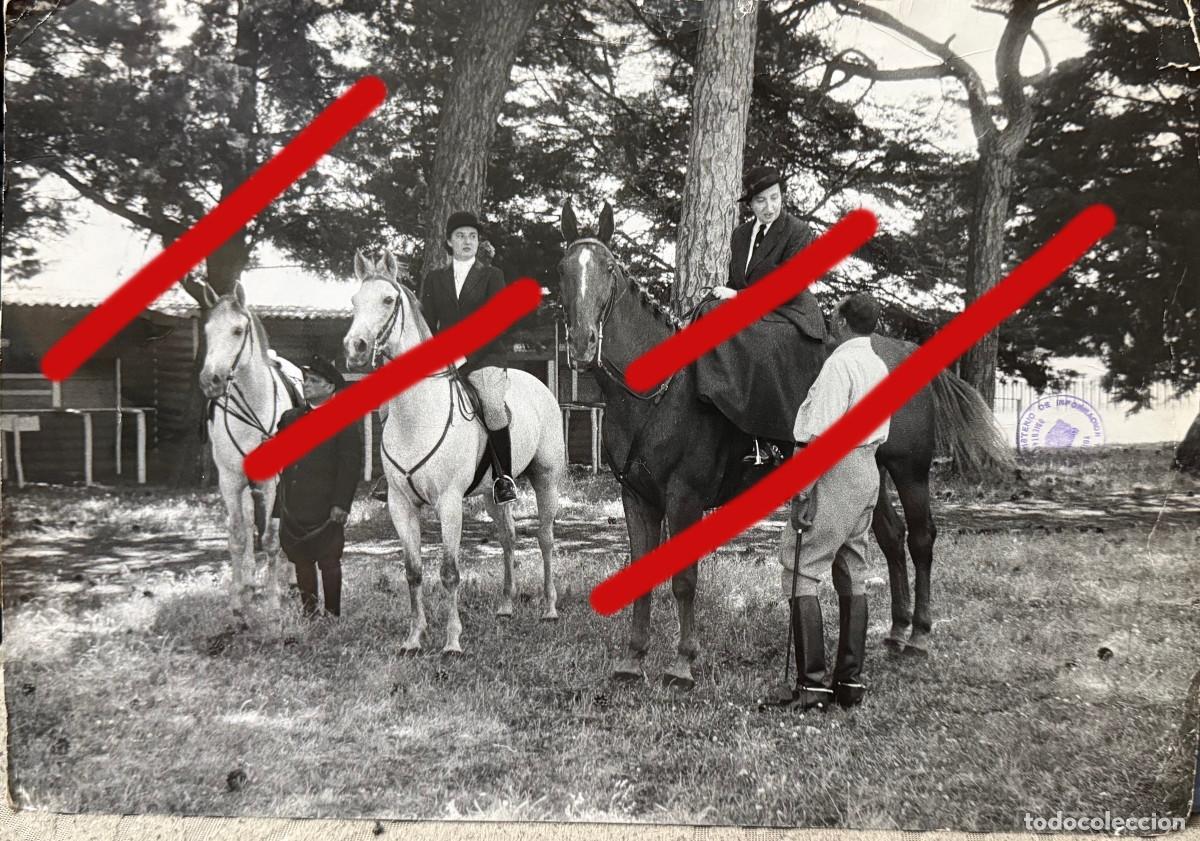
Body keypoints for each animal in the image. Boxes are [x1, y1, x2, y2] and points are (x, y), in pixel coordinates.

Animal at [197, 280, 299, 613]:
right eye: (207, 330)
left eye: (238, 330)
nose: (210, 380)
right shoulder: (230, 482)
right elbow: (239, 537)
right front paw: (238, 597)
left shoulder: (270, 482)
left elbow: (270, 538)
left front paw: (273, 599)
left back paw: (288, 581)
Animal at [342, 251, 567, 655]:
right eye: (354, 301)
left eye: (387, 300)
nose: (356, 347)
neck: (417, 416)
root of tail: (538, 384)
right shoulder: (400, 504)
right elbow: (413, 571)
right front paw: (413, 638)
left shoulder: (449, 503)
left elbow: (449, 572)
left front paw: (451, 642)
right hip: (495, 493)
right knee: (508, 537)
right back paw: (506, 605)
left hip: (546, 479)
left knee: (545, 537)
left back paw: (550, 607)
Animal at [556, 201, 1012, 687]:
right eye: (564, 267)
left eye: (607, 268)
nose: (581, 345)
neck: (658, 391)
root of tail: (909, 351)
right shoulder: (636, 496)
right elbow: (641, 575)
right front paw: (633, 658)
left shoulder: (684, 497)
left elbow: (684, 580)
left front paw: (682, 663)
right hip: (873, 472)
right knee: (892, 537)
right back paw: (896, 631)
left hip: (910, 470)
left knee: (922, 538)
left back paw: (919, 636)